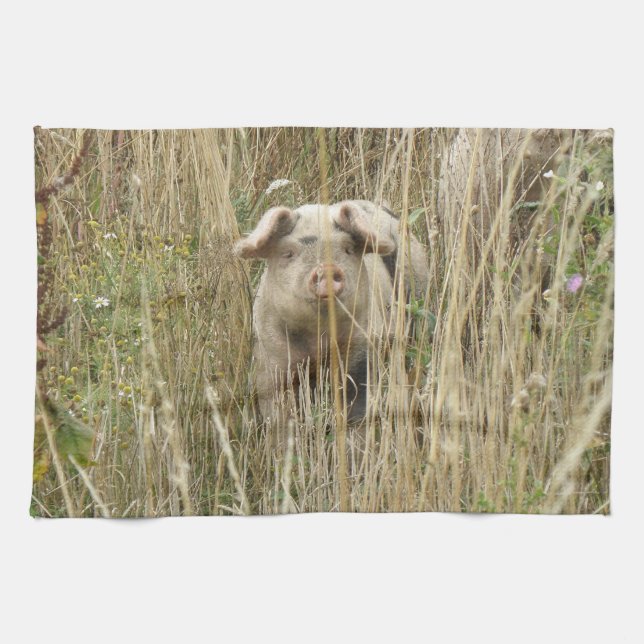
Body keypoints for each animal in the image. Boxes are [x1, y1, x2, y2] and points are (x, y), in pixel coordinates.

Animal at [234, 200, 429, 424]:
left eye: (347, 249)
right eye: (288, 253)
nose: (326, 268)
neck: (318, 341)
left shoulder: (363, 346)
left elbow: (358, 402)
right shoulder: (269, 358)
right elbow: (278, 410)